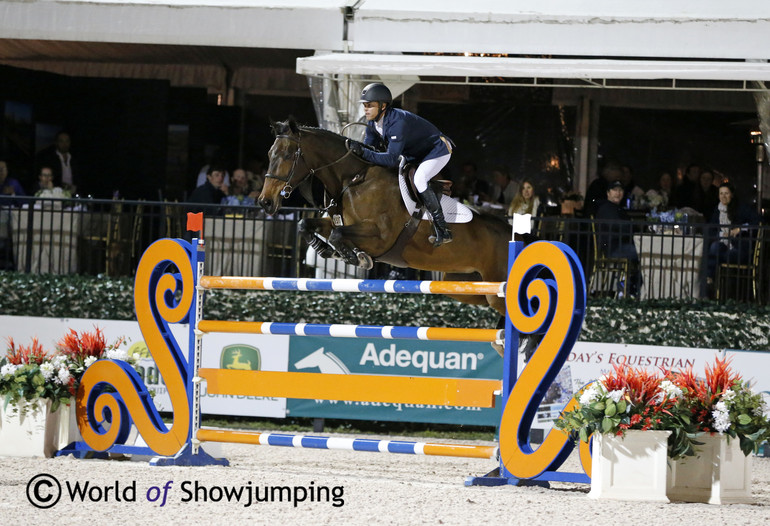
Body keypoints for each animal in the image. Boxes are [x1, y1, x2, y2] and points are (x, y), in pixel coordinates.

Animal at [256, 118, 510, 318]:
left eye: (288, 155)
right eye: (269, 154)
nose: (265, 202)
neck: (353, 179)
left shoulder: (380, 237)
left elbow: (339, 235)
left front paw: (355, 257)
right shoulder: (338, 222)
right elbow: (306, 224)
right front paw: (326, 250)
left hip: (495, 292)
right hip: (465, 286)